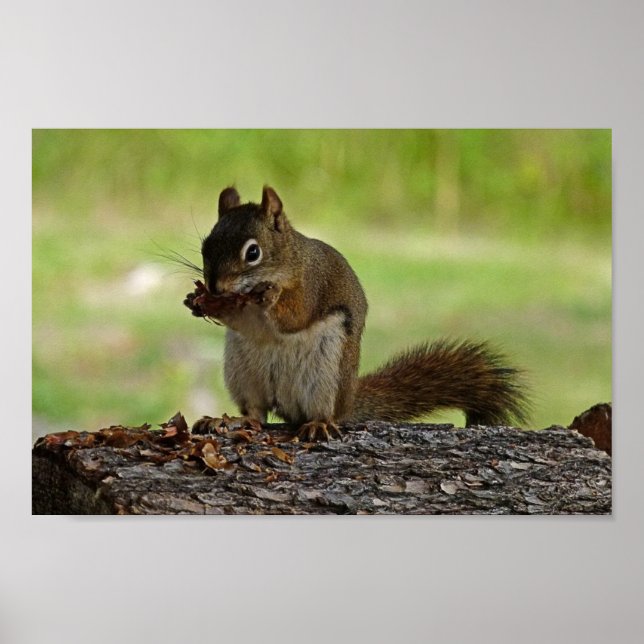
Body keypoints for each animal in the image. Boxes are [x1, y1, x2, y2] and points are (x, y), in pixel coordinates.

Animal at [184, 186, 530, 441]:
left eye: (253, 252)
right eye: (205, 247)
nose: (215, 286)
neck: (288, 262)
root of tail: (348, 400)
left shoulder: (313, 284)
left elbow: (296, 316)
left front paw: (269, 297)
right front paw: (196, 301)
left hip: (327, 374)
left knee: (322, 412)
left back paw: (318, 423)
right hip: (242, 372)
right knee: (255, 413)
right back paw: (233, 420)